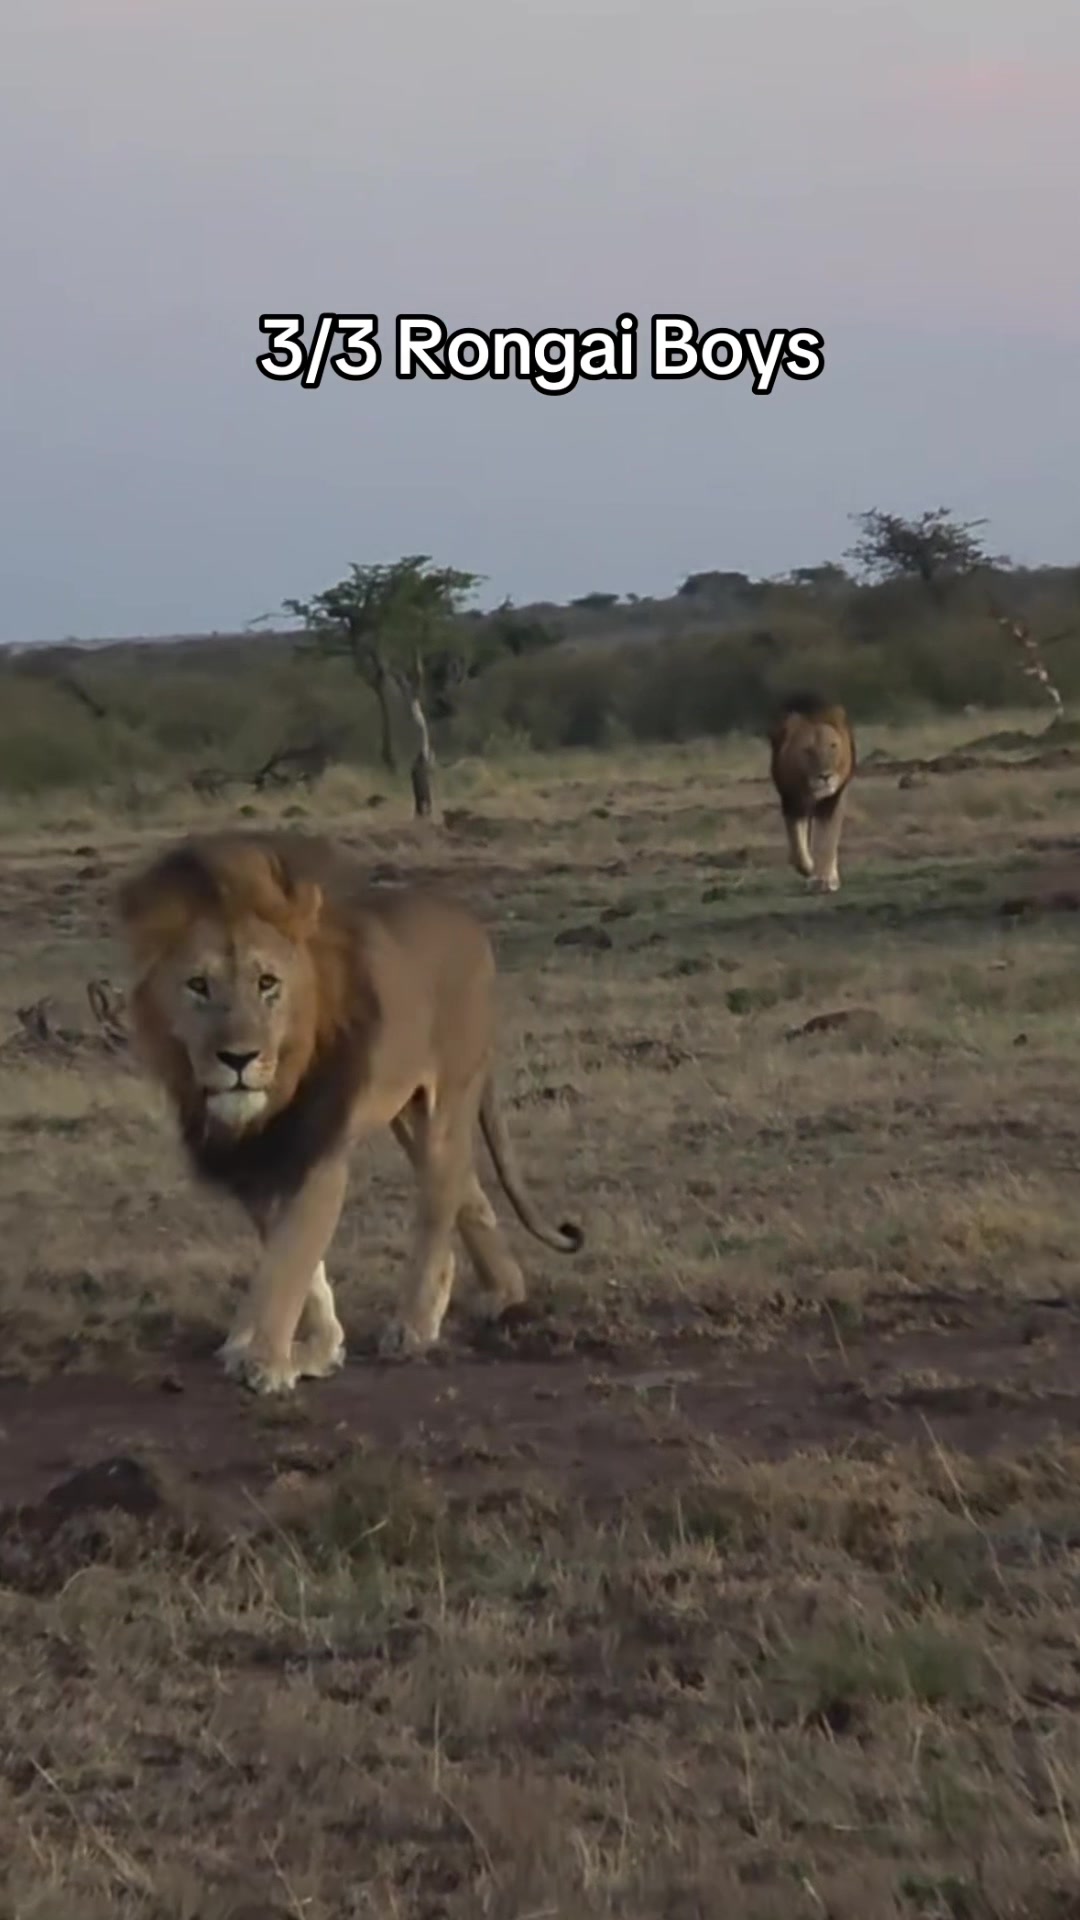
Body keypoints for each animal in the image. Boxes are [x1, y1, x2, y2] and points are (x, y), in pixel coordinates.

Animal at [116, 829, 584, 1396]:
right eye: (198, 986)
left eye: (267, 983)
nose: (238, 1059)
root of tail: (472, 925)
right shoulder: (261, 1159)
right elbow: (294, 1260)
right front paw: (318, 1348)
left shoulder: (319, 1150)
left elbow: (290, 1259)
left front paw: (266, 1361)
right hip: (408, 1111)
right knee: (469, 1192)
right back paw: (504, 1294)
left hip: (449, 1098)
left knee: (440, 1200)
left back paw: (415, 1325)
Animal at [768, 695, 856, 893]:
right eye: (807, 750)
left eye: (833, 746)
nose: (825, 776)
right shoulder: (791, 802)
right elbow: (798, 850)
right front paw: (809, 869)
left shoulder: (832, 801)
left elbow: (827, 842)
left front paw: (823, 879)